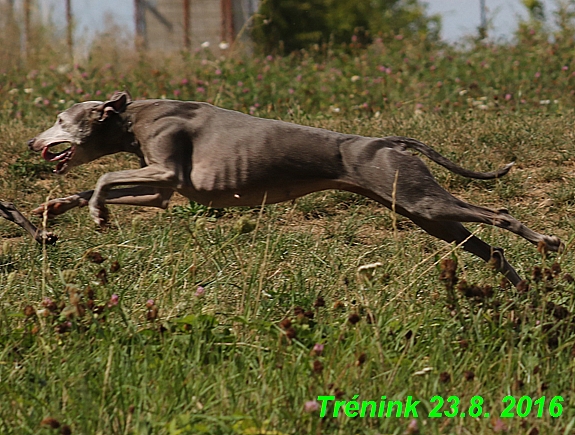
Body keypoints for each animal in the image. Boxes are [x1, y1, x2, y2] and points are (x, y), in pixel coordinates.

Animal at [28, 91, 564, 286]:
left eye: (60, 119)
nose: (32, 142)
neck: (131, 116)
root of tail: (388, 141)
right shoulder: (161, 189)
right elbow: (96, 186)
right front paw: (55, 208)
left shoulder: (165, 173)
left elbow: (102, 178)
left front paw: (97, 213)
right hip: (423, 213)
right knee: (489, 248)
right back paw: (519, 285)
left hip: (421, 201)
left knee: (498, 215)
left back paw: (546, 240)